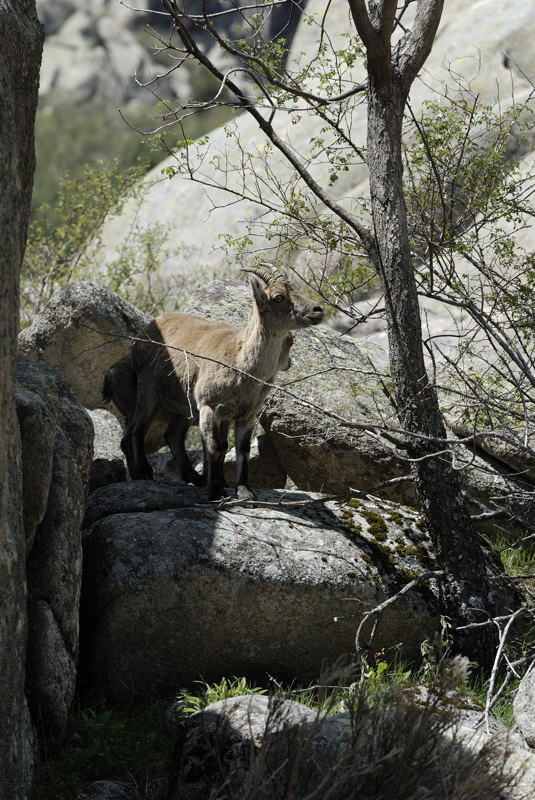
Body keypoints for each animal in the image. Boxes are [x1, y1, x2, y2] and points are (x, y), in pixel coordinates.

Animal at [103, 272, 324, 504]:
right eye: (278, 297)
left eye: (296, 288)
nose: (318, 309)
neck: (241, 362)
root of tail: (141, 335)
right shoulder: (209, 406)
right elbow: (214, 446)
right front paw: (216, 491)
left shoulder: (245, 414)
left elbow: (240, 449)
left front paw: (243, 492)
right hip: (148, 391)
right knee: (137, 431)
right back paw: (143, 473)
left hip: (183, 407)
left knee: (172, 436)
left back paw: (194, 477)